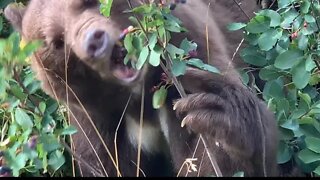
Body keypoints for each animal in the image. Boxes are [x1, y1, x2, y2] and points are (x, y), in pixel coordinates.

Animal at [4, 0, 278, 177]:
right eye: (56, 41)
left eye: (89, 1)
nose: (94, 40)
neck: (140, 96)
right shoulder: (95, 119)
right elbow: (105, 164)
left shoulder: (190, 61)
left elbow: (206, 154)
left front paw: (217, 112)